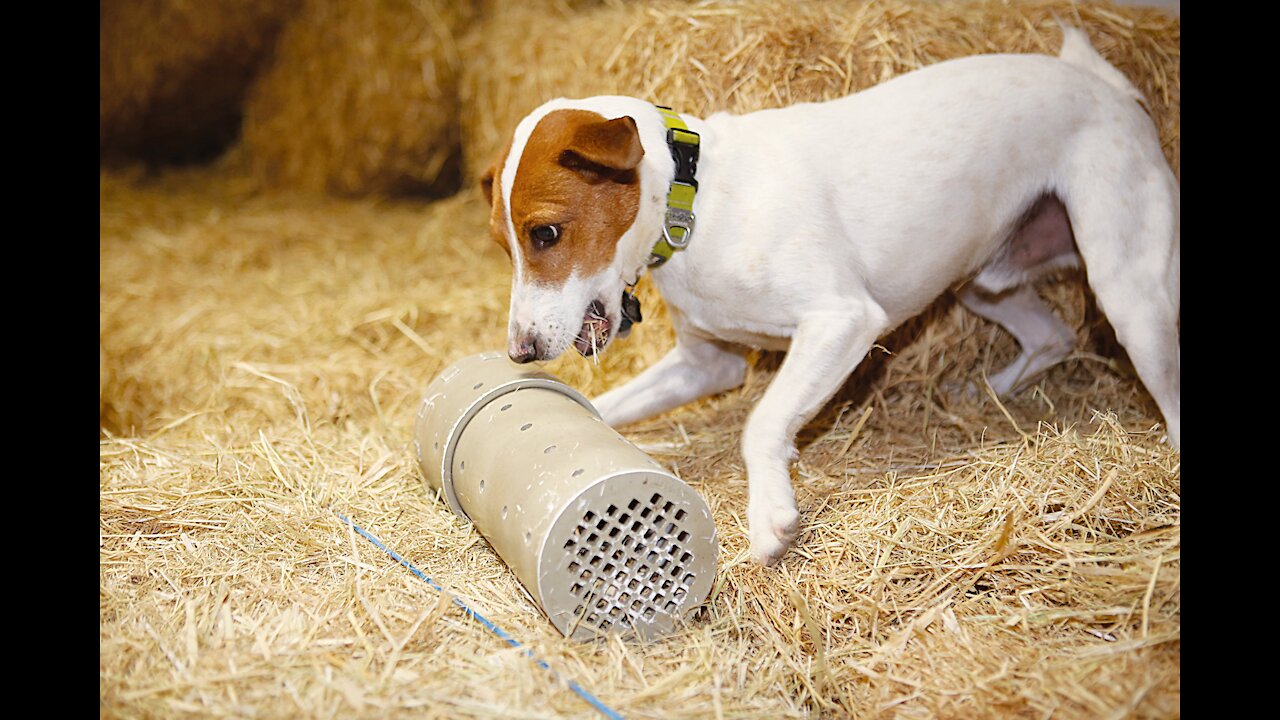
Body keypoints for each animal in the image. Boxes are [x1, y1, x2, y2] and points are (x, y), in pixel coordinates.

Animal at [481, 28, 1177, 563]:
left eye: (546, 233)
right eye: (504, 245)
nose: (521, 353)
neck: (696, 202)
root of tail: (1109, 90)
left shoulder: (842, 320)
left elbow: (763, 422)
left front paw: (771, 515)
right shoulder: (706, 364)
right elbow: (608, 407)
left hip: (1128, 293)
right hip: (983, 279)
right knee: (1052, 334)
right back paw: (985, 393)